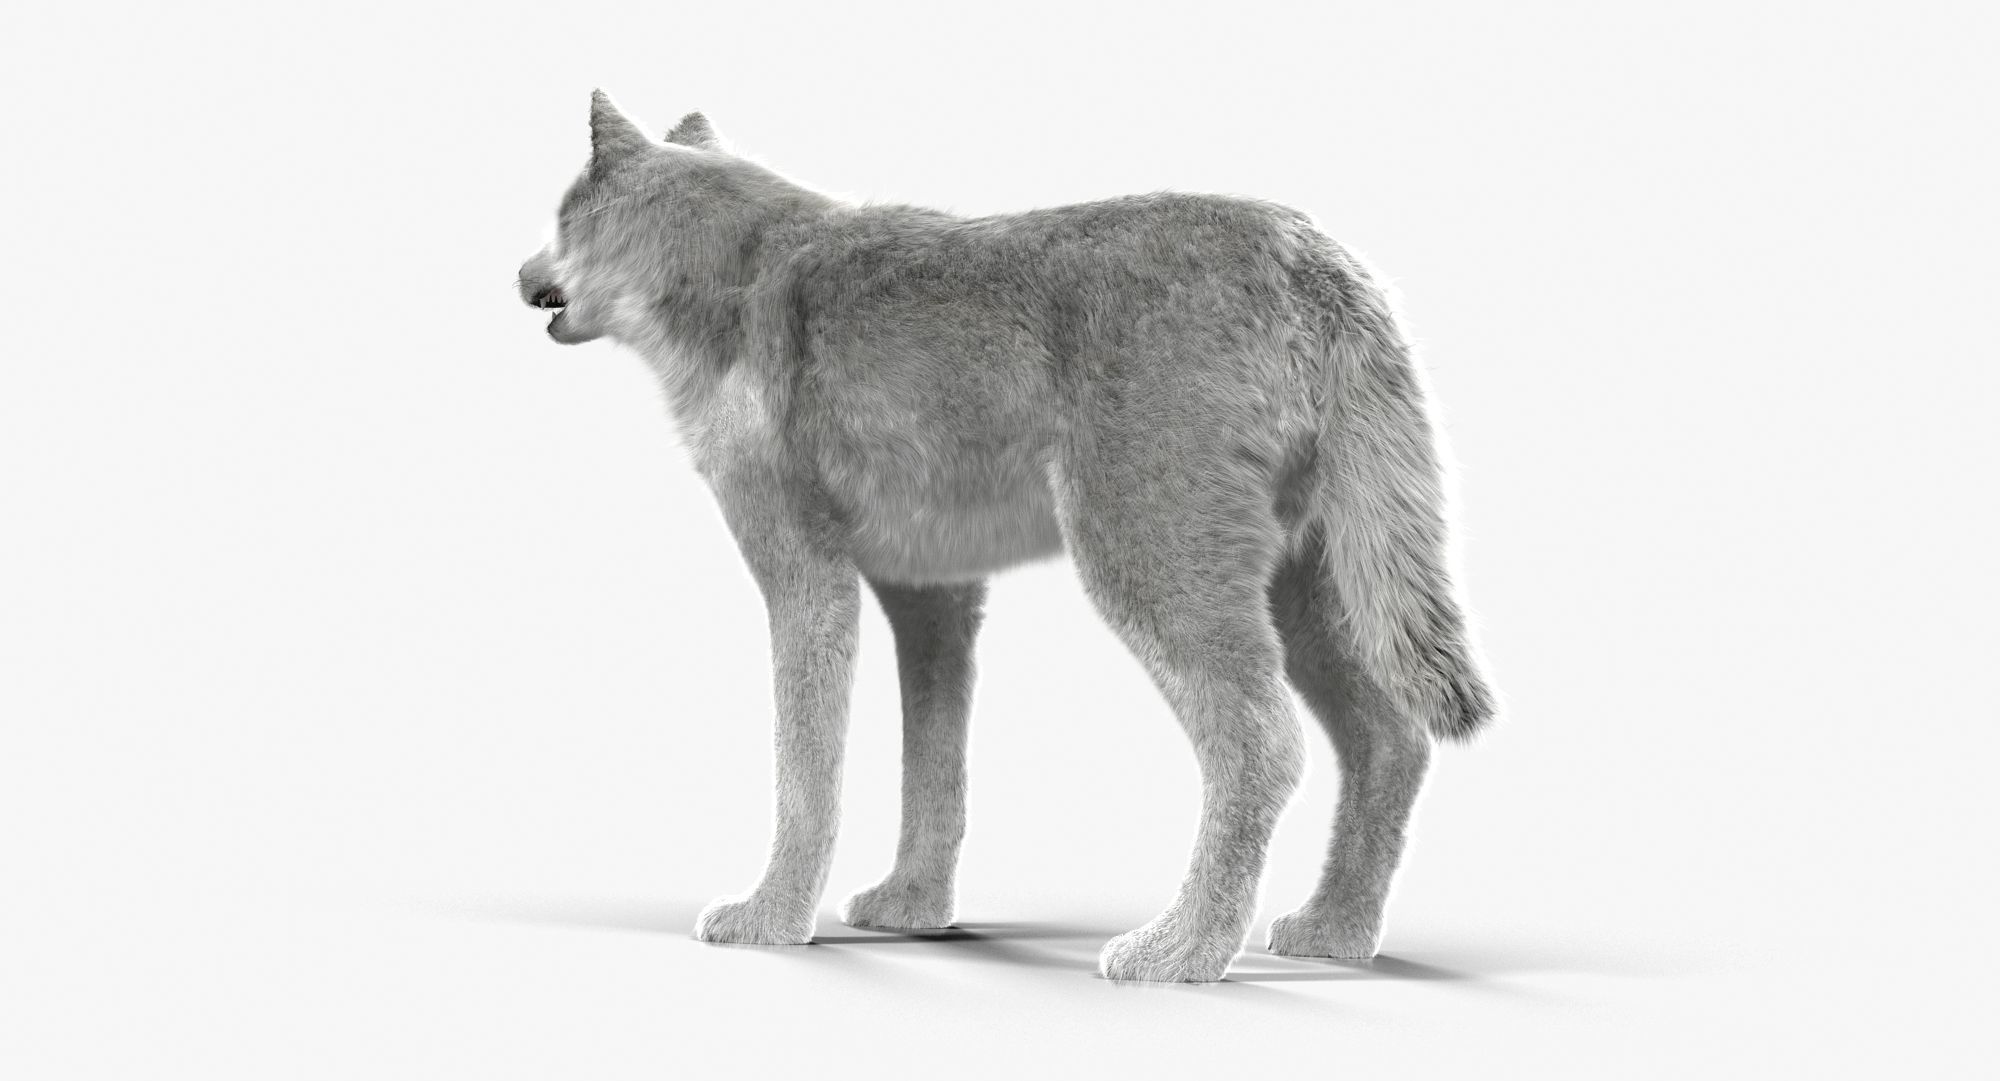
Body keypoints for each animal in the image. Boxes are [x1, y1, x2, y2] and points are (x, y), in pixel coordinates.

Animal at [517, 91, 1497, 982]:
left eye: (560, 216)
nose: (519, 273)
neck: (727, 276)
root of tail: (1313, 253)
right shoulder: (932, 593)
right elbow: (933, 765)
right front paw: (912, 907)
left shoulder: (806, 576)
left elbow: (805, 769)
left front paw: (769, 918)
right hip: (1310, 589)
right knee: (1390, 737)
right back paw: (1335, 931)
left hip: (1151, 565)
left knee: (1266, 743)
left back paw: (1181, 951)